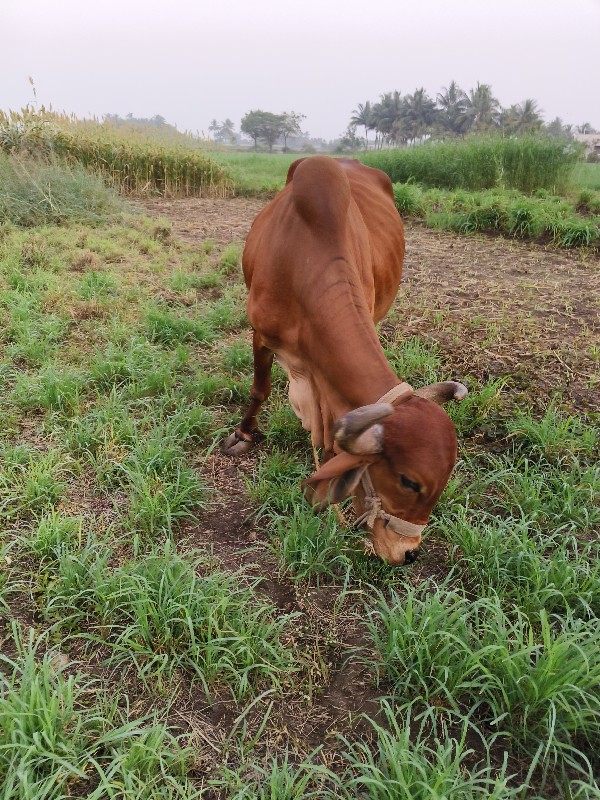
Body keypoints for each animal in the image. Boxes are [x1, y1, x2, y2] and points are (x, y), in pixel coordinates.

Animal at [223, 156, 466, 564]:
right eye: (409, 481)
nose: (409, 553)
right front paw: (242, 435)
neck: (305, 263)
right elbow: (259, 389)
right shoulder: (260, 333)